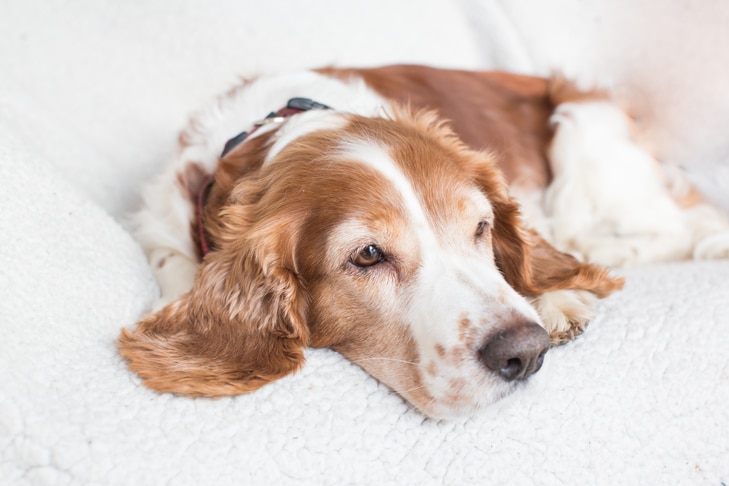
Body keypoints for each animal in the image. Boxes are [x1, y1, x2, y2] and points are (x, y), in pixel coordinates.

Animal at [119, 64, 728, 420]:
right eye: (368, 255)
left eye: (481, 227)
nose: (526, 353)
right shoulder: (159, 219)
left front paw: (554, 296)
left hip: (583, 128)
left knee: (667, 227)